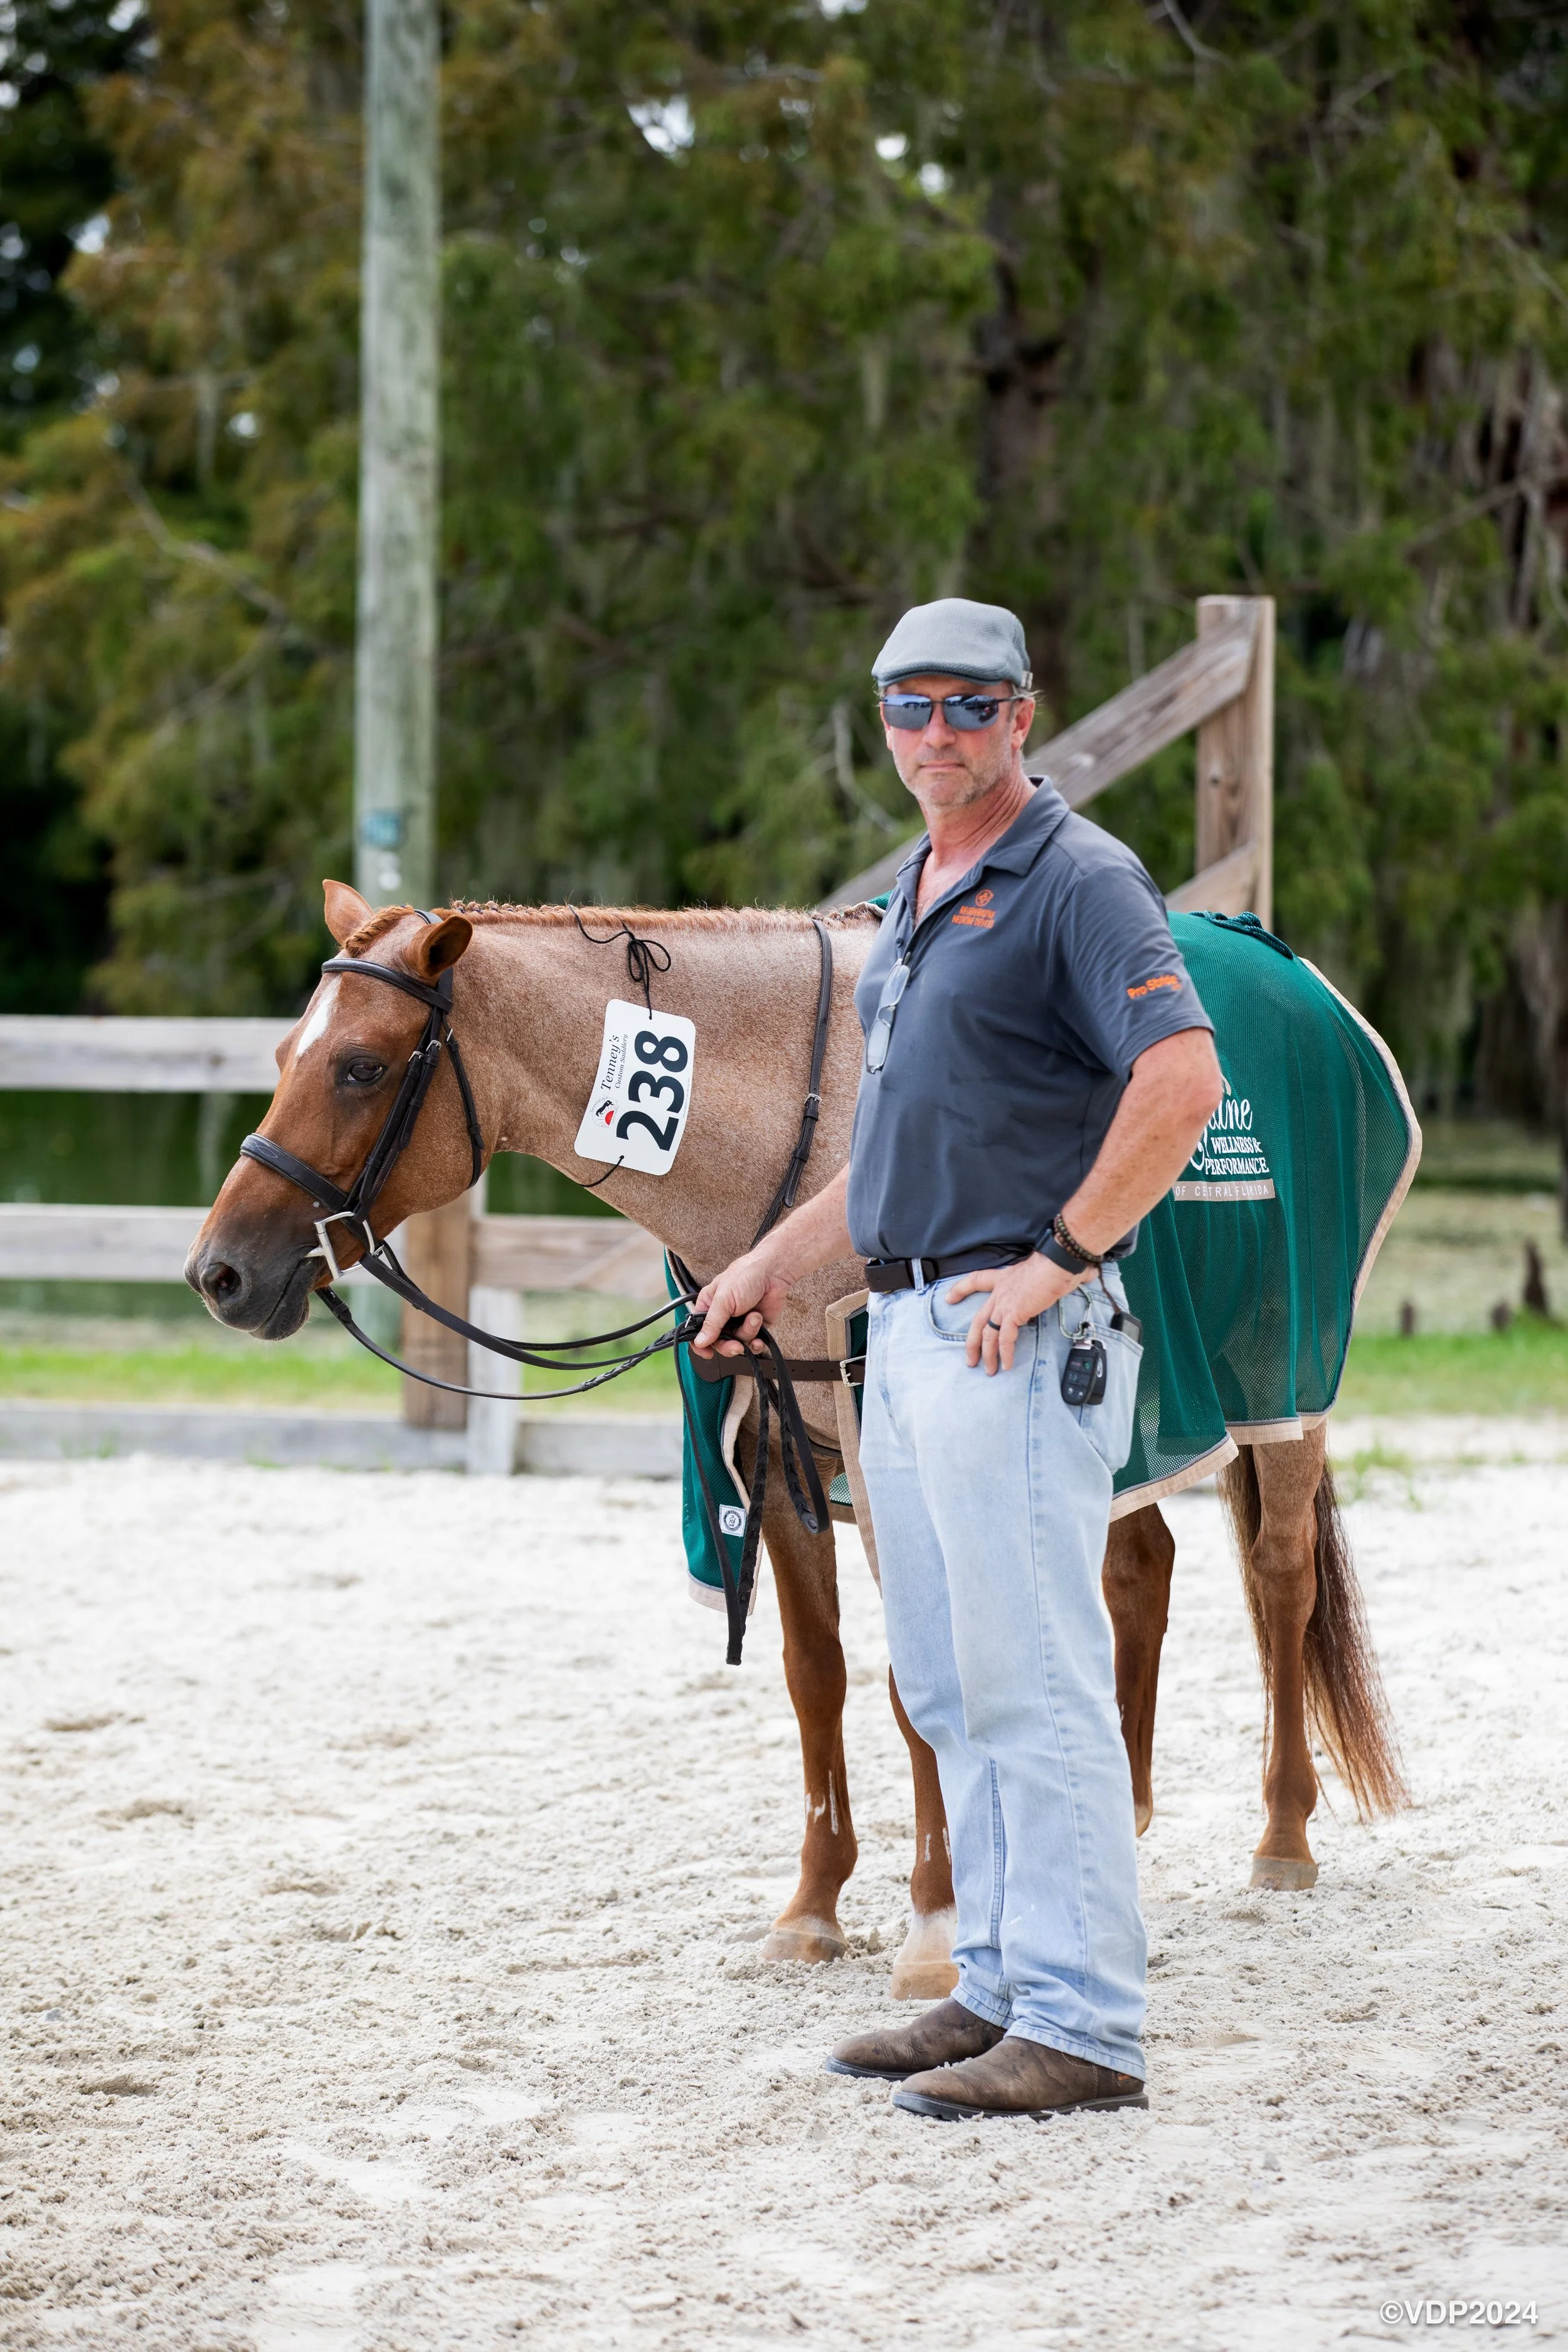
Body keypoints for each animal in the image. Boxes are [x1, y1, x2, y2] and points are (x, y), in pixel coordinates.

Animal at [187, 882, 1406, 2002]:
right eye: (288, 1051)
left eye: (361, 1066)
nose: (220, 1272)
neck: (807, 1135)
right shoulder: (772, 1446)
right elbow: (815, 1674)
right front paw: (814, 1908)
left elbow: (919, 1678)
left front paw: (935, 1924)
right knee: (1137, 1569)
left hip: (1284, 1389)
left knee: (1280, 1576)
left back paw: (1282, 1839)